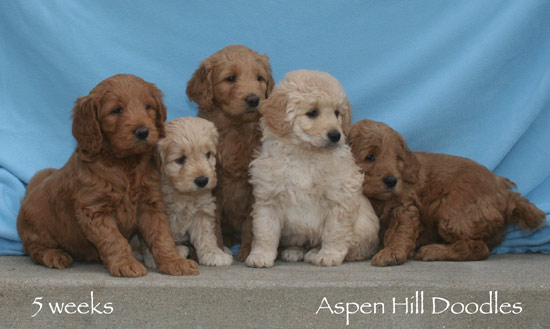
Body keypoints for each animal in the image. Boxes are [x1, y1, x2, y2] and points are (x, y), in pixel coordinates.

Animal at [18, 74, 202, 276]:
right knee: (34, 249)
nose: (143, 131)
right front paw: (125, 263)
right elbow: (113, 239)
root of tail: (28, 194)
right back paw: (54, 255)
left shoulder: (150, 204)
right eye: (117, 110)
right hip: (39, 230)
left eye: (148, 107)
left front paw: (174, 261)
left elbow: (161, 235)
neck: (125, 163)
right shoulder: (94, 209)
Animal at [138, 117, 235, 266]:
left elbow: (206, 235)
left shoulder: (202, 211)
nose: (202, 180)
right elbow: (158, 235)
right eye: (180, 159)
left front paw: (213, 254)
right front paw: (158, 257)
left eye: (208, 154)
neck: (183, 194)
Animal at [188, 44, 276, 258]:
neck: (236, 128)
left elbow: (251, 223)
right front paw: (218, 250)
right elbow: (213, 222)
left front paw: (247, 252)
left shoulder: (254, 184)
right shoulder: (212, 185)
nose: (253, 99)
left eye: (259, 78)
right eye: (230, 78)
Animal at [248, 69, 382, 266]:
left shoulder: (340, 196)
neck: (305, 154)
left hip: (365, 226)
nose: (336, 135)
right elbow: (265, 230)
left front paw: (329, 254)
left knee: (357, 246)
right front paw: (260, 255)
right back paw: (294, 251)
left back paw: (316, 252)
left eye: (337, 113)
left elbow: (335, 232)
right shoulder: (268, 197)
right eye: (312, 113)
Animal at [350, 119, 548, 266]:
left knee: (478, 248)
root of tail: (503, 191)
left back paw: (434, 250)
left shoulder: (405, 207)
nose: (392, 181)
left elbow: (399, 230)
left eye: (398, 158)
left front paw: (392, 252)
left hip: (452, 216)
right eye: (370, 157)